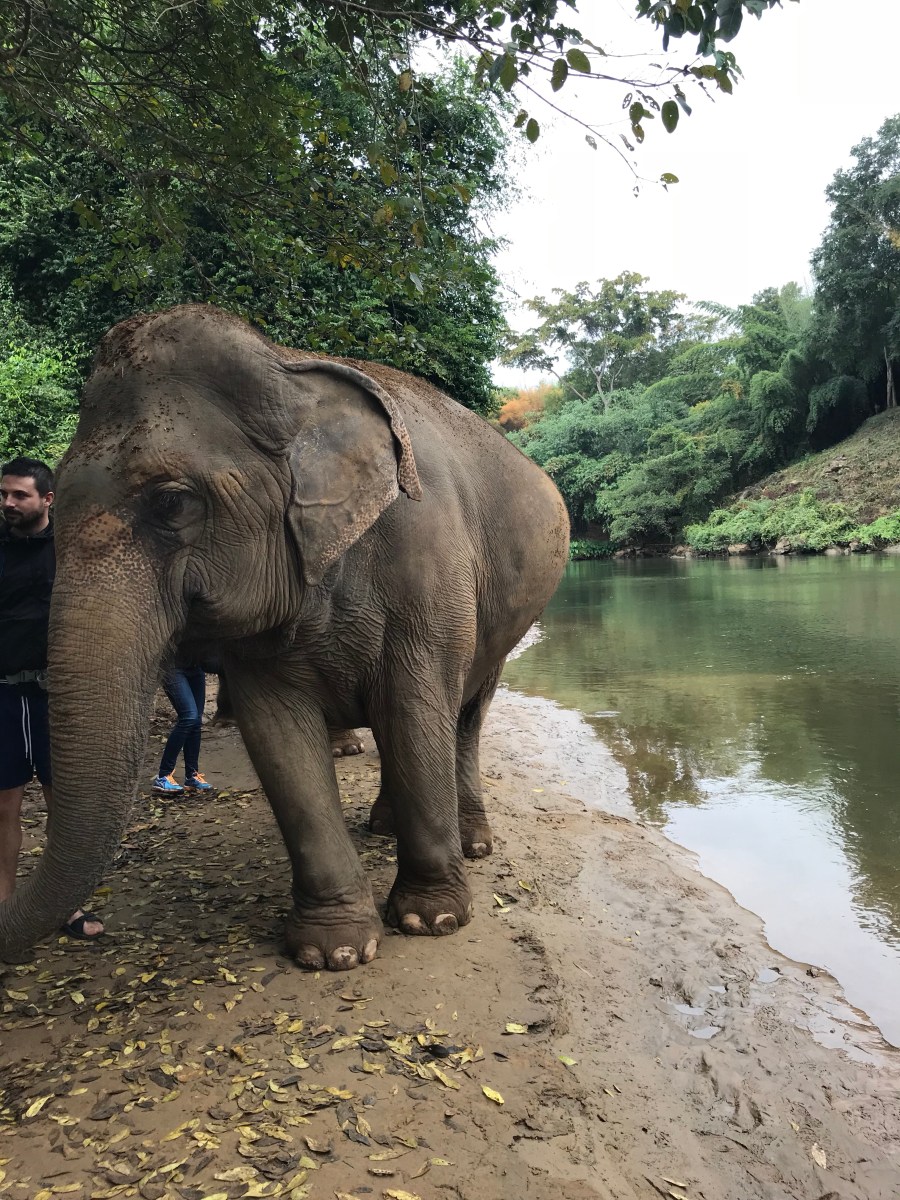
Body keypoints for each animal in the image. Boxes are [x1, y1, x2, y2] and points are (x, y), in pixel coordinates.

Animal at [0, 304, 569, 971]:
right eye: (54, 498)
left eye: (171, 502)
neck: (288, 369)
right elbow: (279, 734)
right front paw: (334, 950)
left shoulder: (428, 562)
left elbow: (414, 708)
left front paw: (433, 919)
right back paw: (384, 827)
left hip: (504, 616)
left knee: (465, 715)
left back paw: (473, 842)